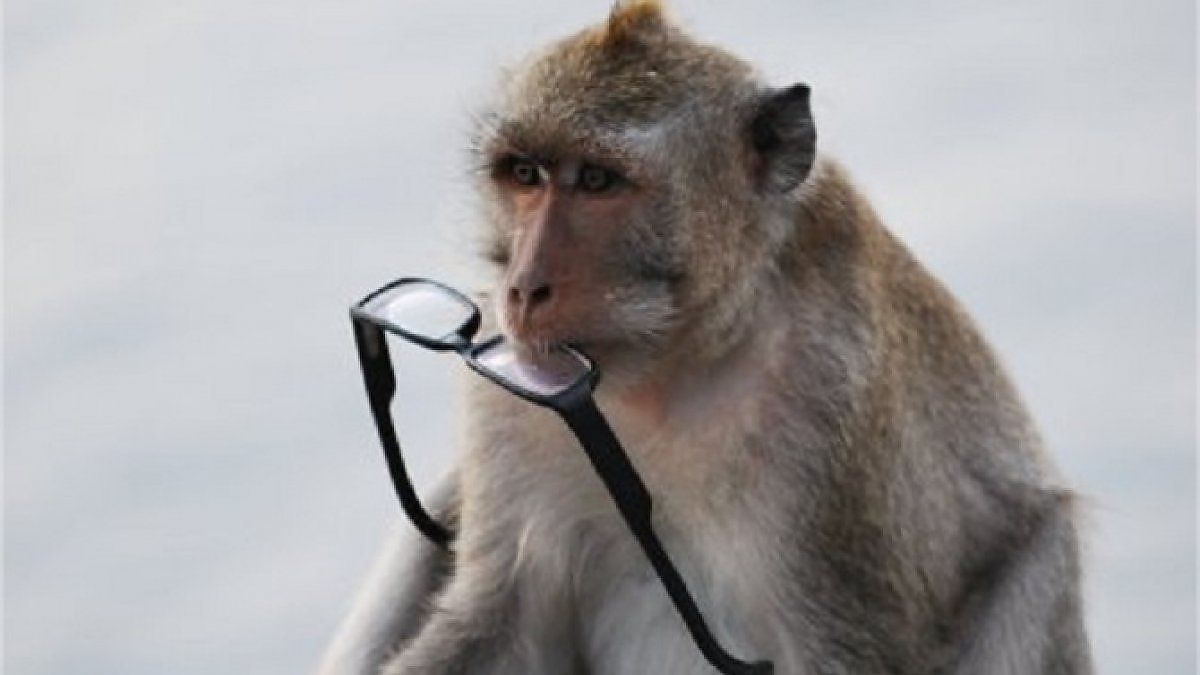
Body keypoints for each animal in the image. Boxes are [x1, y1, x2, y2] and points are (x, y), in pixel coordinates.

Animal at [317, 1, 1092, 673]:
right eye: (526, 174)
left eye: (597, 180)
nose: (523, 287)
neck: (675, 364)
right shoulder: (513, 398)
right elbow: (491, 626)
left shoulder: (830, 414)